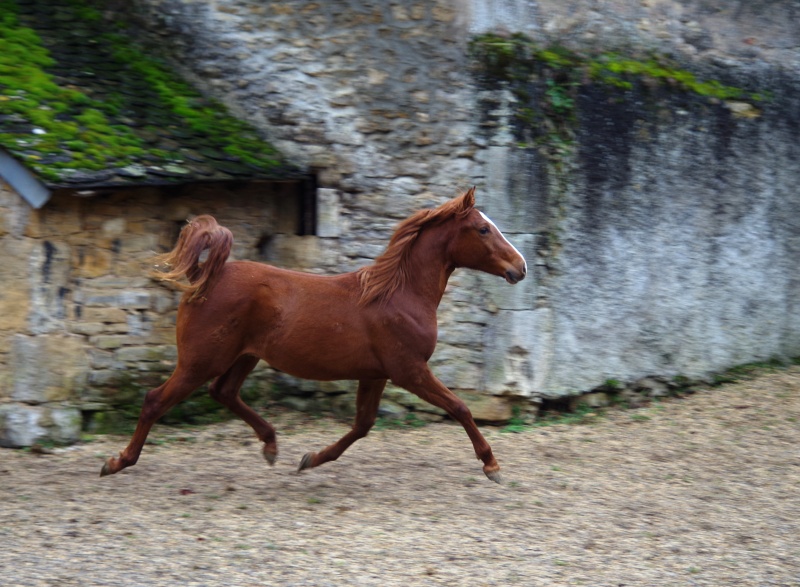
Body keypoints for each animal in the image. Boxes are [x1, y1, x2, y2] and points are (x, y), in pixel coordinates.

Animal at [101, 187, 524, 482]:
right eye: (483, 228)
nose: (520, 267)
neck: (398, 294)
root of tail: (206, 275)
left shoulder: (376, 374)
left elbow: (362, 425)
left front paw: (310, 460)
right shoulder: (409, 370)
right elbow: (460, 407)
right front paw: (492, 465)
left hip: (244, 356)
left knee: (223, 392)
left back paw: (272, 446)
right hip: (201, 360)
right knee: (156, 400)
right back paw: (117, 462)